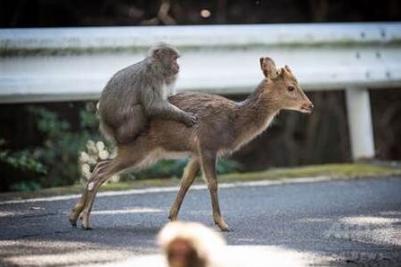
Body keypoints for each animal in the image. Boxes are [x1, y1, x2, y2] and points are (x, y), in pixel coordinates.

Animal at [69, 57, 312, 232]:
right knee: (101, 172)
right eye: (291, 87)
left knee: (99, 167)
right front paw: (222, 224)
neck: (233, 123)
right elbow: (212, 183)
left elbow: (185, 181)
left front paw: (173, 217)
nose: (310, 105)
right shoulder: (208, 144)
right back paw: (85, 220)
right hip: (138, 150)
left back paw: (74, 216)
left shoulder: (195, 152)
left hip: (139, 153)